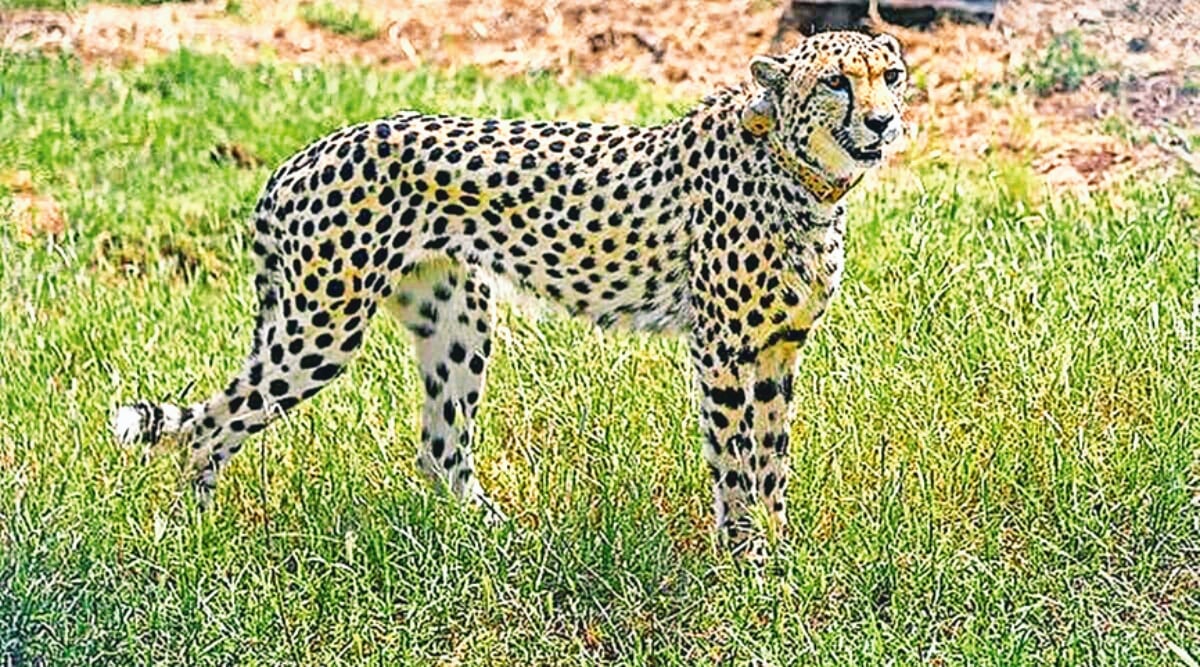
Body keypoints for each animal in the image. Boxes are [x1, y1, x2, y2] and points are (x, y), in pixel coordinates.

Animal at [112, 30, 908, 560]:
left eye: (892, 74)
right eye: (836, 82)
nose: (882, 120)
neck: (801, 175)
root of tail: (299, 157)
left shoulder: (777, 349)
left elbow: (773, 462)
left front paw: (781, 557)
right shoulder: (721, 350)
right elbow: (737, 464)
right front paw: (748, 563)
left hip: (458, 319)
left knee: (440, 448)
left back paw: (500, 539)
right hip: (320, 329)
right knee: (213, 424)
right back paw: (189, 538)